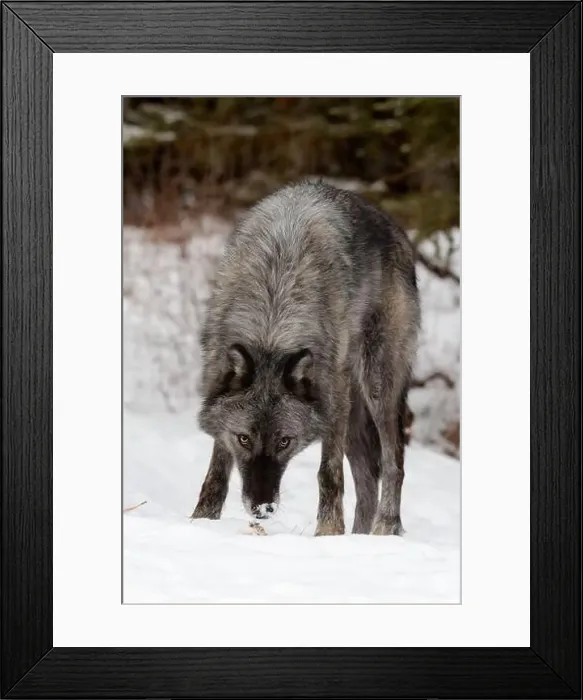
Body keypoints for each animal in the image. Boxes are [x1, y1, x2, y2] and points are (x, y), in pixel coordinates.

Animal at [191, 180, 420, 535]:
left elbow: (329, 474)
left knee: (393, 462)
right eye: (243, 439)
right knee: (368, 476)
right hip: (354, 413)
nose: (263, 508)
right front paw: (201, 522)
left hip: (375, 388)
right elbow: (216, 472)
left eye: (285, 441)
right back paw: (359, 539)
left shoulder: (332, 399)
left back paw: (384, 529)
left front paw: (328, 533)